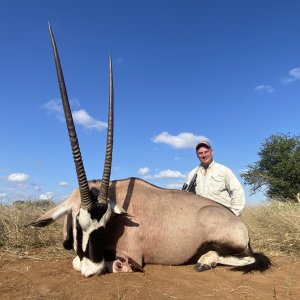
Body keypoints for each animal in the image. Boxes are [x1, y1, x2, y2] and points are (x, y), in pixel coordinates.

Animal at [30, 24, 272, 278]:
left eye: (104, 226)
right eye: (79, 223)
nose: (92, 271)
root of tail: (239, 224)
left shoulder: (131, 254)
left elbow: (81, 262)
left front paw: (115, 266)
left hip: (228, 244)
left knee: (247, 257)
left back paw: (205, 260)